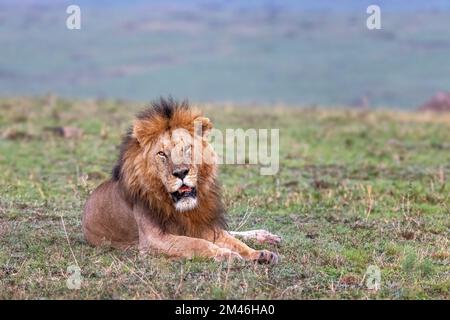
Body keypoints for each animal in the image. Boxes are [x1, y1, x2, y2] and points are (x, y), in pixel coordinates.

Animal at [82, 99, 280, 264]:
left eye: (187, 148)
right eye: (162, 153)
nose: (181, 172)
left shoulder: (199, 225)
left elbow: (233, 241)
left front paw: (258, 253)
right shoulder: (152, 240)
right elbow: (196, 244)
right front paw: (226, 254)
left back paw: (266, 237)